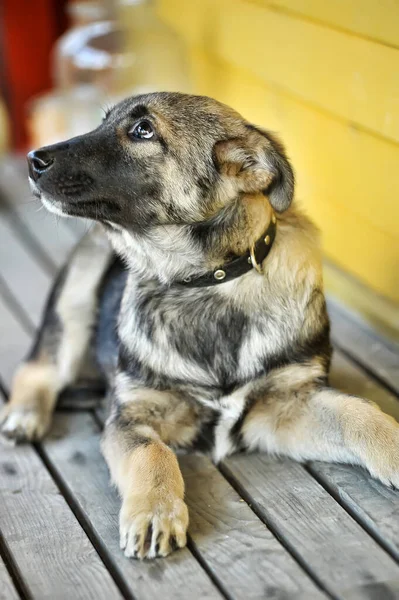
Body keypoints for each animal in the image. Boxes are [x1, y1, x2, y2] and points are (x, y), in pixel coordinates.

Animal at [0, 91, 399, 560]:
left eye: (143, 130)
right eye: (104, 122)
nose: (33, 159)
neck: (207, 284)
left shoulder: (283, 406)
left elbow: (360, 412)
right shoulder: (133, 414)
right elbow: (152, 453)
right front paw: (155, 511)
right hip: (78, 290)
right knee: (41, 364)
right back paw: (24, 414)